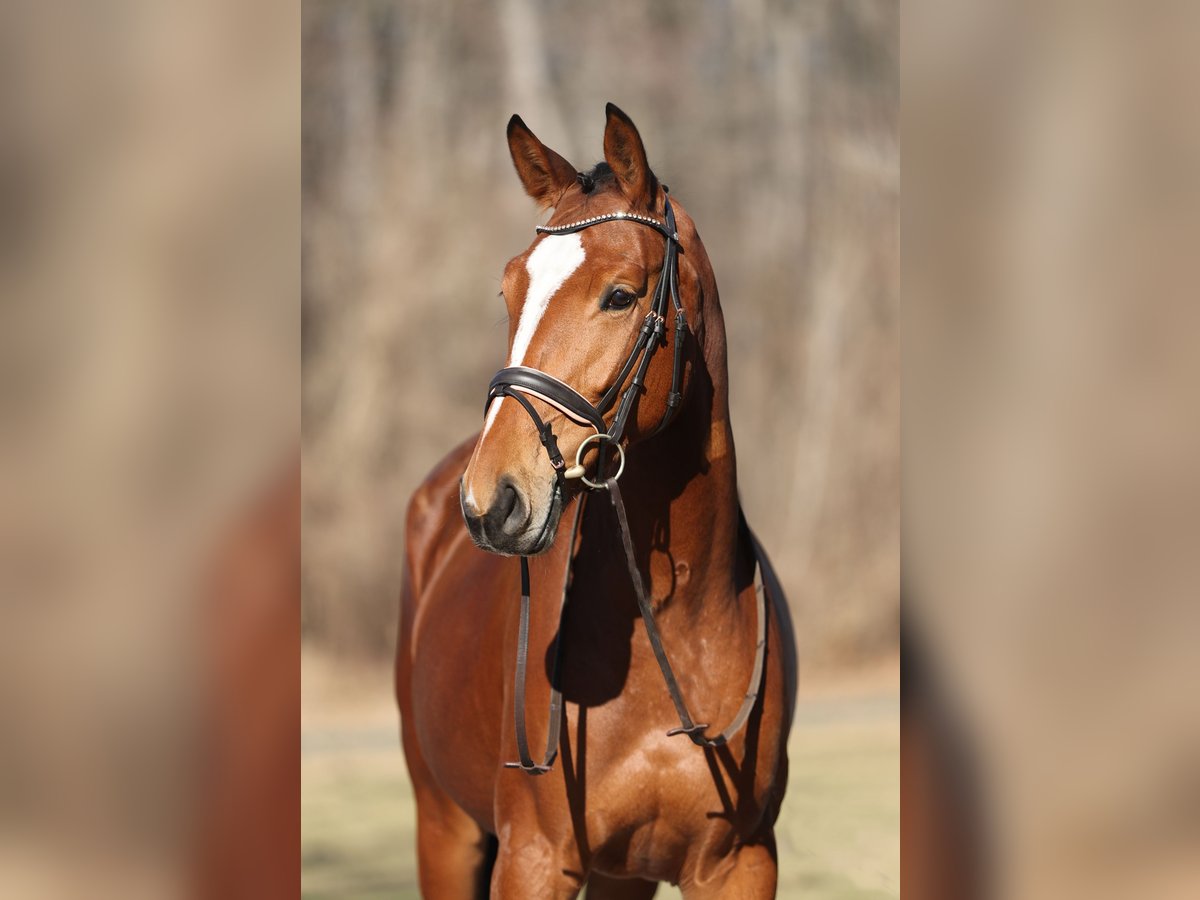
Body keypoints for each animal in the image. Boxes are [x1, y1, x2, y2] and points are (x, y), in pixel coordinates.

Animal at [398, 105, 796, 900]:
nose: (490, 501)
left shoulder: (741, 864)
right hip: (444, 830)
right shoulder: (533, 860)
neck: (676, 627)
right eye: (509, 292)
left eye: (620, 294)